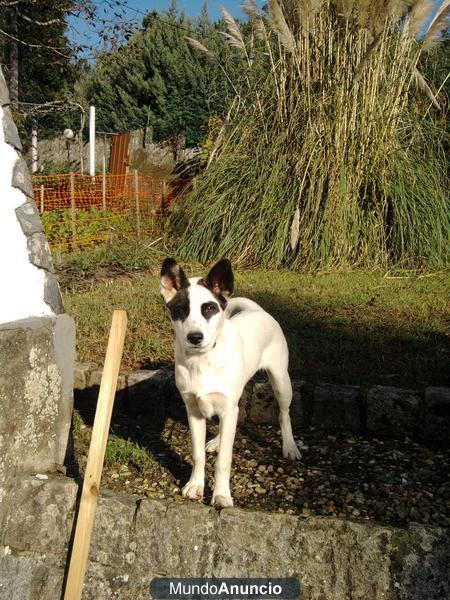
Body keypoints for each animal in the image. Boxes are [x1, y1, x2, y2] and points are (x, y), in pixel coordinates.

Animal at [160, 255, 300, 508]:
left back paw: (290, 446)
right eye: (180, 310)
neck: (203, 360)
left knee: (284, 414)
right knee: (237, 413)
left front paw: (221, 494)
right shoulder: (193, 410)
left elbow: (224, 460)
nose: (195, 337)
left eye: (209, 308)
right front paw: (195, 484)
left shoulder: (225, 408)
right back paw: (216, 441)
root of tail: (257, 310)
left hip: (281, 381)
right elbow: (198, 454)